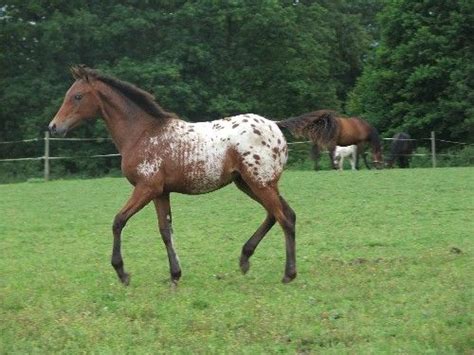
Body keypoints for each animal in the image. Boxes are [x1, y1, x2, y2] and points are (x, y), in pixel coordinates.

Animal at [50, 65, 298, 286]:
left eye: (77, 96)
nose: (53, 127)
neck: (141, 134)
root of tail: (275, 124)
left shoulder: (146, 188)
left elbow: (118, 221)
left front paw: (122, 273)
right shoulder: (161, 193)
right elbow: (165, 231)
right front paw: (175, 275)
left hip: (260, 183)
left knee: (283, 219)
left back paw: (288, 274)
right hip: (249, 183)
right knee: (281, 215)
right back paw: (245, 259)